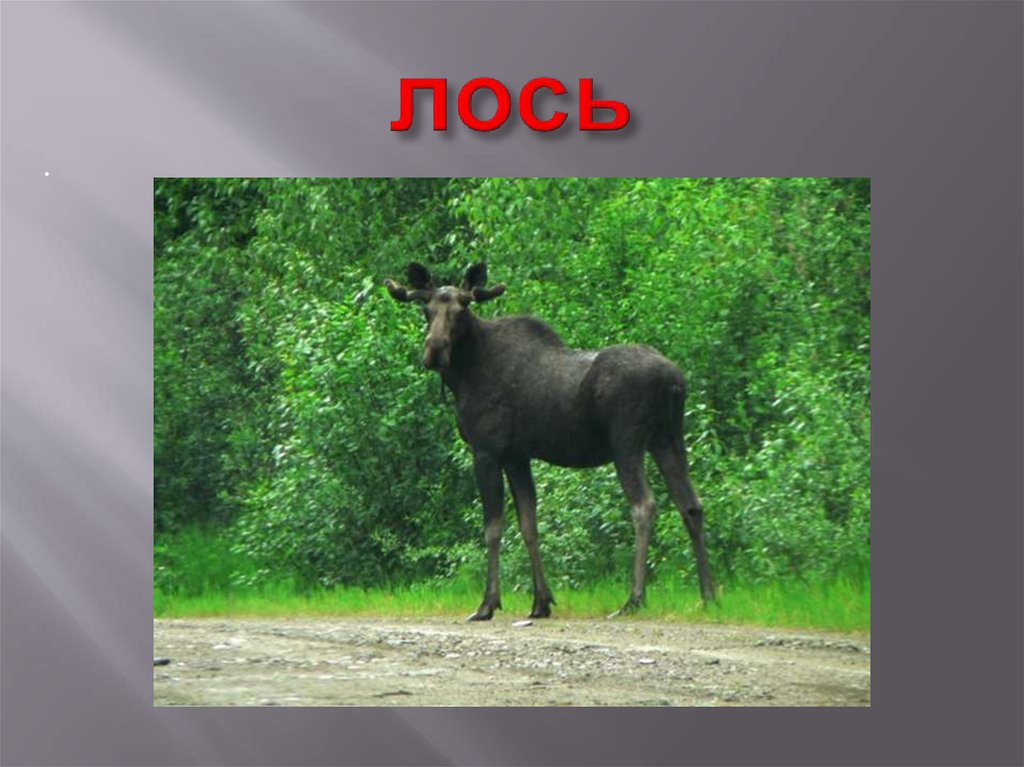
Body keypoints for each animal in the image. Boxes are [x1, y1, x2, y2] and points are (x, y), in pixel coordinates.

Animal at [385, 262, 715, 620]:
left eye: (461, 311)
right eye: (426, 309)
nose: (434, 350)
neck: (462, 376)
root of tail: (674, 380)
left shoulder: (487, 451)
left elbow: (493, 528)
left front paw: (488, 603)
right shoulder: (517, 455)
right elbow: (529, 524)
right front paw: (541, 601)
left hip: (627, 442)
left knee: (644, 505)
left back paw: (635, 598)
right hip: (668, 438)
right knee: (691, 504)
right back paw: (709, 594)